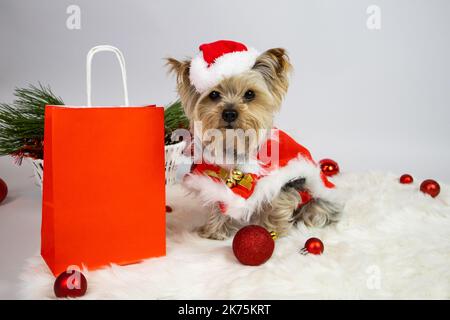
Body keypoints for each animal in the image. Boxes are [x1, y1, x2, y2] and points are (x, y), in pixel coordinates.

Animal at [168, 40, 342, 239]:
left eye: (250, 94)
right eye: (214, 95)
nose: (229, 112)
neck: (235, 143)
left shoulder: (281, 181)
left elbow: (278, 202)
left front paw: (270, 230)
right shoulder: (213, 177)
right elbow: (219, 201)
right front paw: (215, 231)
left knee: (316, 210)